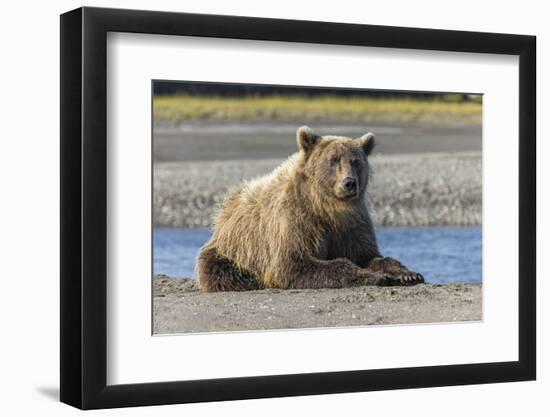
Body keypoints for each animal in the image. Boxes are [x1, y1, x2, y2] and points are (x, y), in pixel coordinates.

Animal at [196, 125, 424, 290]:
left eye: (356, 161)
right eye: (333, 160)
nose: (349, 183)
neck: (328, 207)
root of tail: (227, 207)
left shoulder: (353, 224)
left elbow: (368, 255)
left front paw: (407, 274)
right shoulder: (296, 221)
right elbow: (294, 264)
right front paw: (373, 276)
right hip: (233, 250)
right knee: (221, 270)